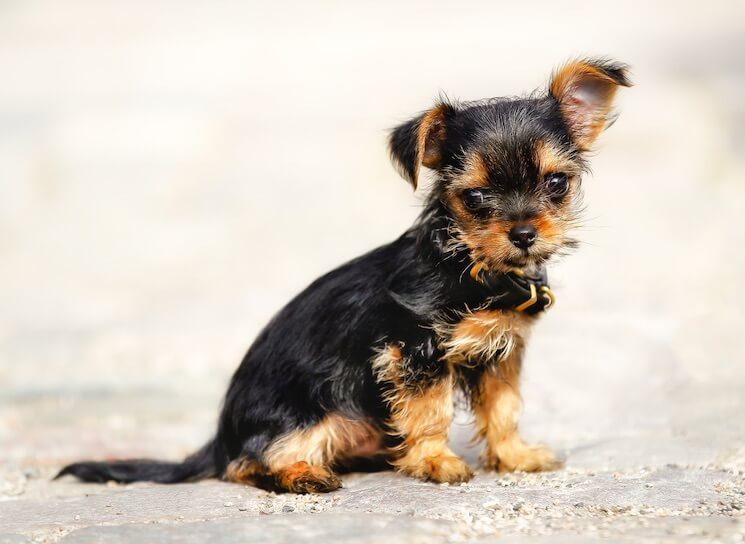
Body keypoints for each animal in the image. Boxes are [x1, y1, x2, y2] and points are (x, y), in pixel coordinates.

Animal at [56, 58, 628, 492]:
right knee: (247, 463)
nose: (524, 233)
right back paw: (301, 475)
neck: (468, 262)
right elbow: (431, 411)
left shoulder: (500, 352)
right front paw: (435, 461)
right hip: (313, 413)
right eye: (476, 197)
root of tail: (219, 437)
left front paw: (514, 456)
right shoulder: (413, 350)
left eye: (556, 184)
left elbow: (503, 407)